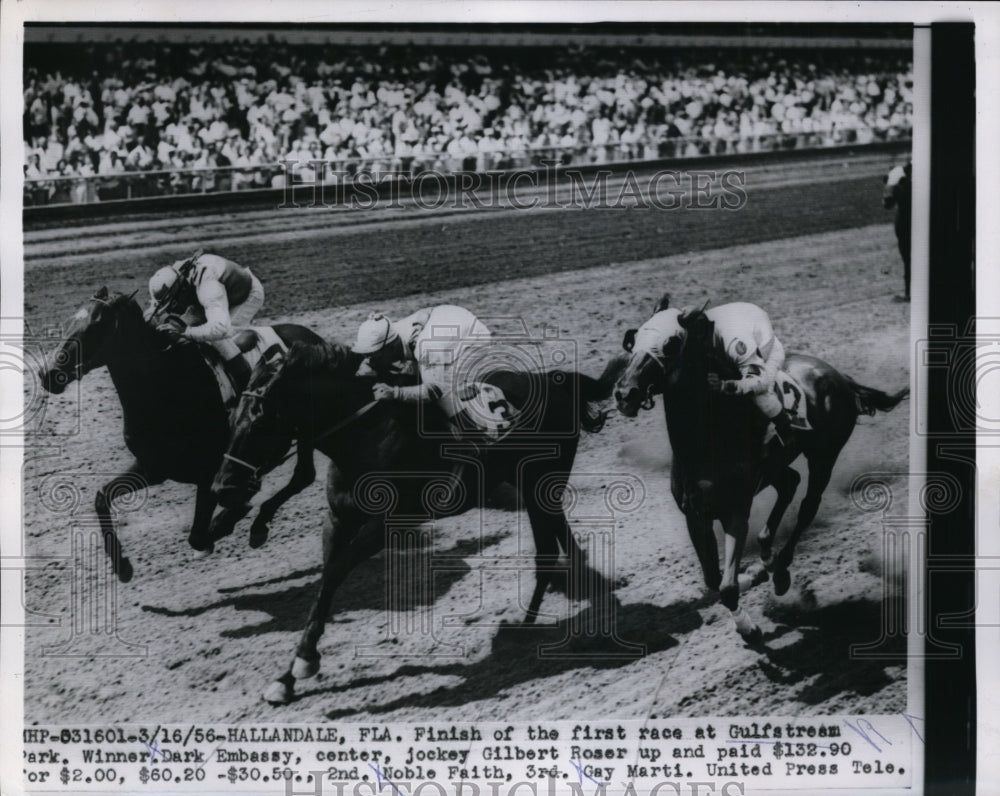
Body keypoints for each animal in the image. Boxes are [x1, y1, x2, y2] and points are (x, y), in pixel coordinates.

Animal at [37, 290, 320, 580]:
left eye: (95, 326)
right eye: (69, 322)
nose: (48, 374)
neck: (168, 389)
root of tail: (312, 336)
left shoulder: (210, 472)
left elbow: (198, 535)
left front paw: (227, 520)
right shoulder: (153, 467)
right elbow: (101, 497)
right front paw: (122, 566)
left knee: (304, 475)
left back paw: (258, 526)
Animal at [212, 338, 616, 704]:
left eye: (261, 420)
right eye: (230, 417)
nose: (221, 488)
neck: (364, 435)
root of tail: (556, 379)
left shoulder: (385, 526)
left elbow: (336, 573)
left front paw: (303, 662)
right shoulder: (337, 519)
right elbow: (325, 582)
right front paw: (287, 678)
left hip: (540, 483)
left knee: (547, 551)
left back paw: (539, 628)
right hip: (534, 486)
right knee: (558, 538)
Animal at [612, 296, 912, 644]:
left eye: (671, 344)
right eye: (632, 341)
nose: (625, 392)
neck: (707, 439)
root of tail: (839, 376)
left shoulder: (736, 511)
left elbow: (726, 586)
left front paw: (749, 626)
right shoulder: (695, 515)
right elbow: (713, 579)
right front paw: (752, 575)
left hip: (824, 455)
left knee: (808, 506)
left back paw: (780, 568)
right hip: (774, 466)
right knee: (790, 482)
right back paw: (767, 555)